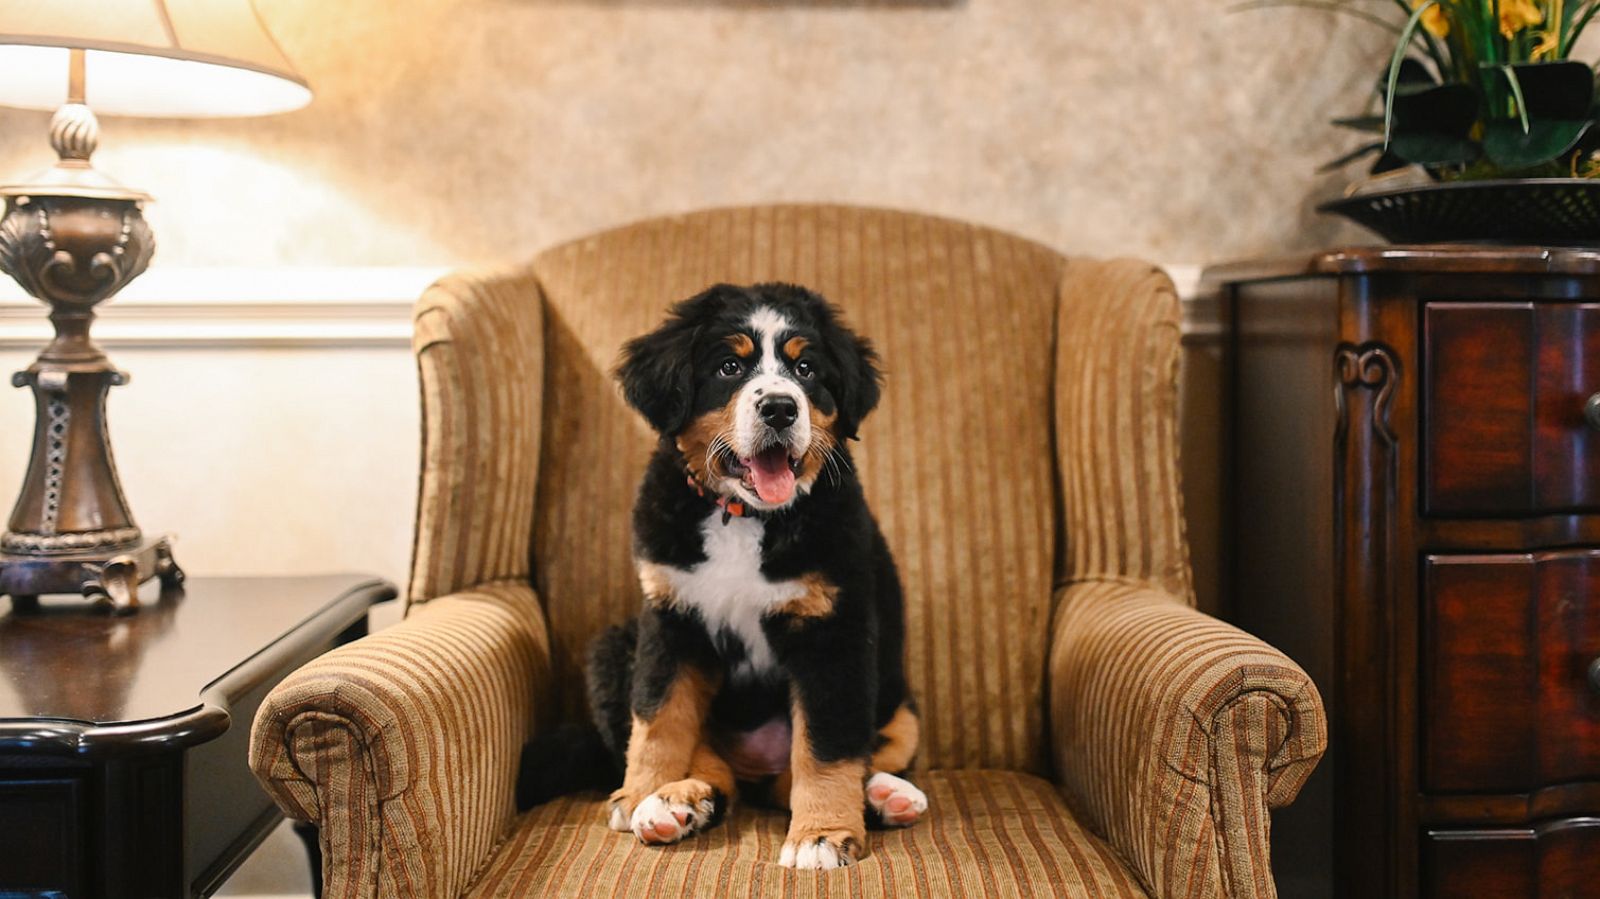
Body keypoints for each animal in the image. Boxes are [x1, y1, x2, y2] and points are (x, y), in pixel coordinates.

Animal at [518, 279, 928, 870]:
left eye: (807, 370)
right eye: (729, 367)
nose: (780, 408)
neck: (743, 516)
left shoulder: (833, 631)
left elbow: (826, 746)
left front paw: (822, 834)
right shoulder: (670, 617)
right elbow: (658, 719)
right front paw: (639, 793)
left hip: (899, 707)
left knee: (805, 772)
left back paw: (882, 795)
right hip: (612, 649)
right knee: (719, 770)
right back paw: (676, 803)